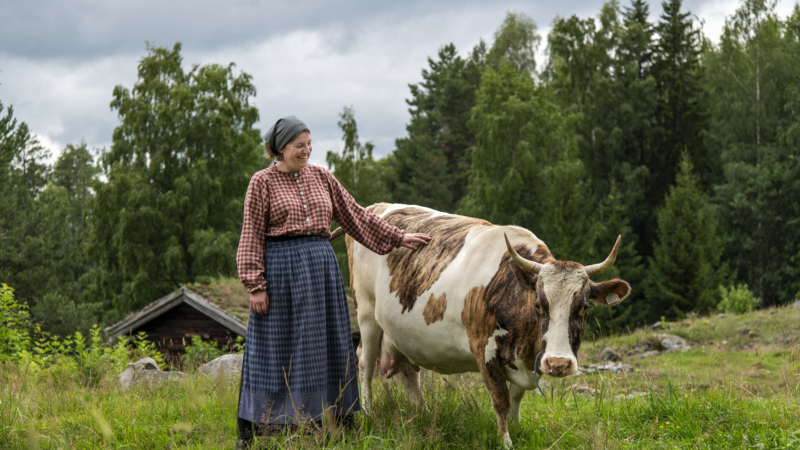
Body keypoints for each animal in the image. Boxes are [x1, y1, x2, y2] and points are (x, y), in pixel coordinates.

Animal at [332, 203, 632, 446]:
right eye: (538, 305)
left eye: (583, 307)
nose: (558, 364)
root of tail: (377, 206)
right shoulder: (484, 350)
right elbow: (501, 401)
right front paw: (506, 442)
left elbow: (516, 399)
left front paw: (516, 431)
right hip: (366, 314)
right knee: (365, 364)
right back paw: (369, 413)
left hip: (402, 334)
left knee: (408, 372)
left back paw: (424, 414)